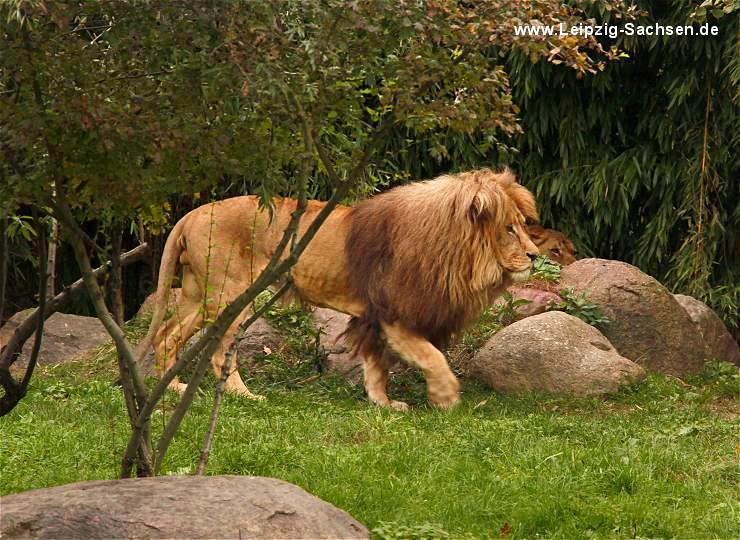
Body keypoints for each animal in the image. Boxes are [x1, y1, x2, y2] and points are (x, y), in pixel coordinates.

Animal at [137, 169, 536, 410]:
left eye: (522, 225)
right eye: (509, 229)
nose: (534, 254)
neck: (456, 253)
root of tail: (192, 213)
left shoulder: (374, 318)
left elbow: (376, 367)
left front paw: (383, 405)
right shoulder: (395, 314)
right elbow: (432, 357)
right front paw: (446, 398)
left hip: (197, 293)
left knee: (167, 335)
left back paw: (172, 388)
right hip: (229, 294)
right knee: (221, 351)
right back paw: (245, 395)